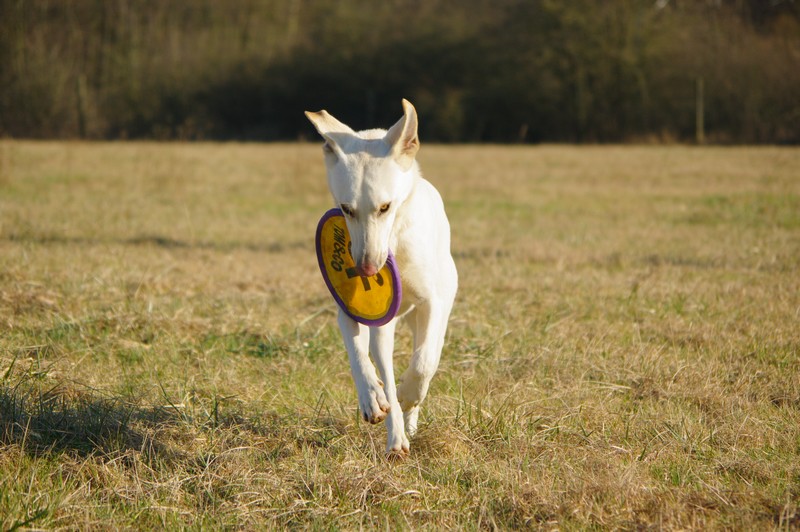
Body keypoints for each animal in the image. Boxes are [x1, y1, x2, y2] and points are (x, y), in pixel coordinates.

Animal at [304, 100, 456, 458]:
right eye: (346, 208)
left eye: (385, 207)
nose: (367, 270)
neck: (395, 240)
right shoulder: (351, 311)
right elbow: (360, 355)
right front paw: (373, 398)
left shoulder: (434, 303)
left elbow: (424, 362)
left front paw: (409, 394)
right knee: (381, 359)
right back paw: (394, 432)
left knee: (425, 354)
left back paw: (408, 416)